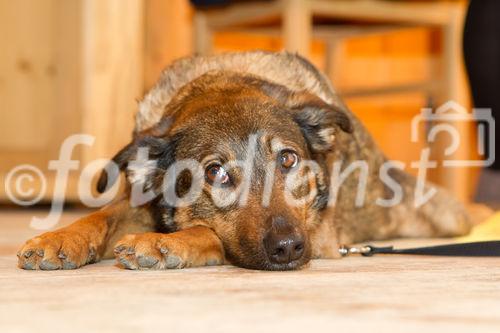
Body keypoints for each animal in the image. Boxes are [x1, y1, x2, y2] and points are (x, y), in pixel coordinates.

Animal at [17, 51, 470, 270]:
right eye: (215, 173)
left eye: (287, 159)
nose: (289, 248)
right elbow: (101, 216)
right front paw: (58, 239)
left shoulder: (320, 238)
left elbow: (208, 232)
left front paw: (164, 245)